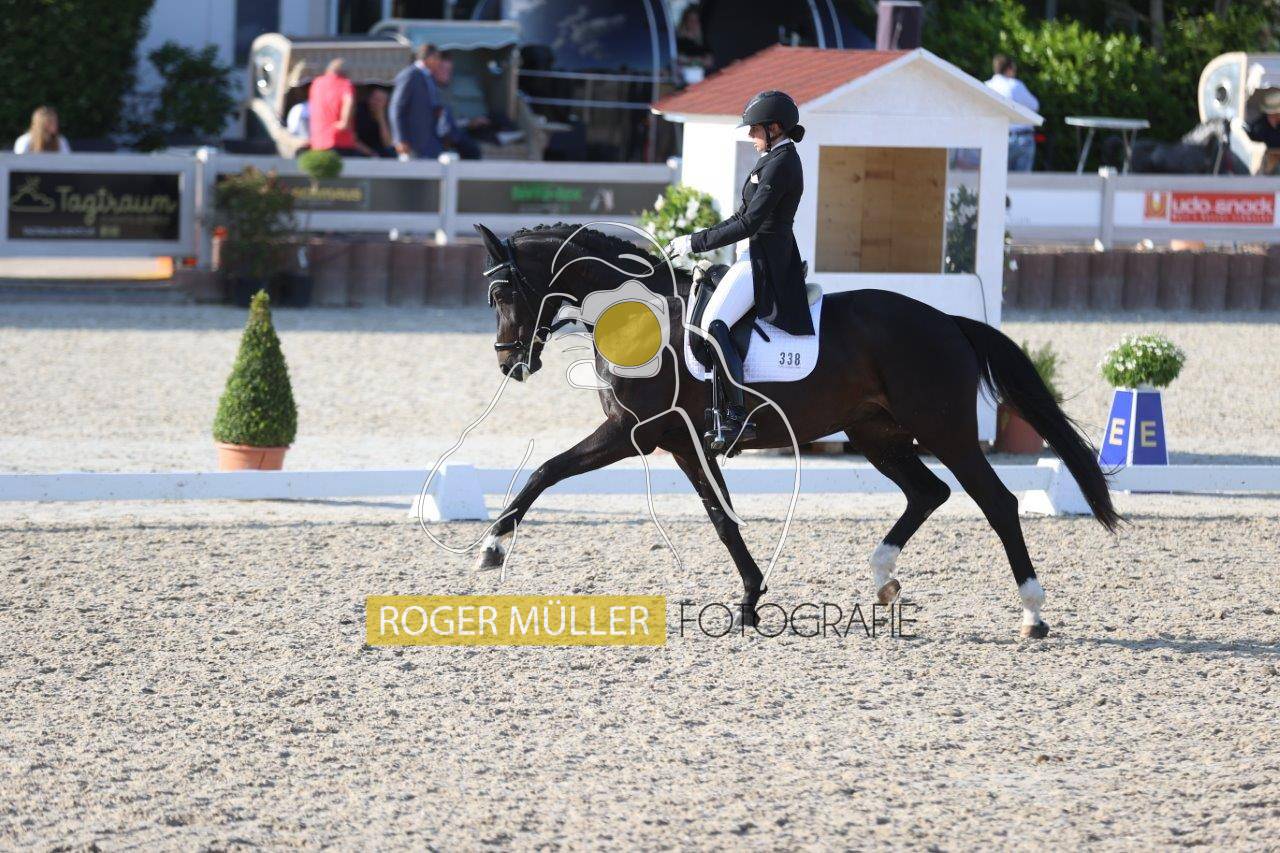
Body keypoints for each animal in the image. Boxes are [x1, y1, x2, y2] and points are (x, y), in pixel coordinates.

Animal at [471, 221, 1119, 638]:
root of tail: (948, 321)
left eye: (502, 291)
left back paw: (1033, 614)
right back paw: (883, 581)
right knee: (928, 491)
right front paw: (750, 601)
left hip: (945, 432)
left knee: (997, 502)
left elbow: (545, 470)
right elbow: (723, 518)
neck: (634, 317)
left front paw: (492, 550)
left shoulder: (634, 430)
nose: (508, 364)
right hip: (875, 433)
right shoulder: (682, 442)